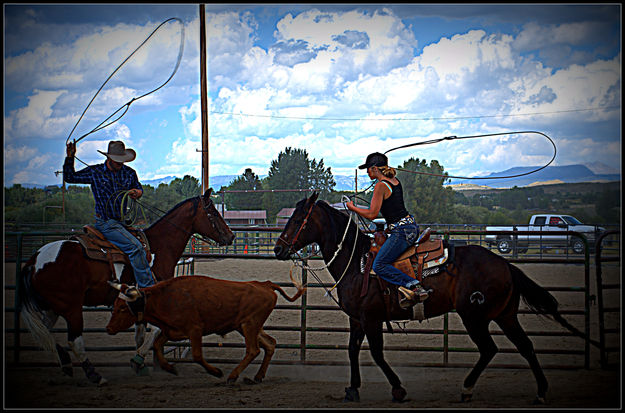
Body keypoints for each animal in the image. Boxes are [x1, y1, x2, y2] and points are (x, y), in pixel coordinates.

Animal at [20, 187, 234, 384]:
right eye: (213, 212)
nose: (231, 236)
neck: (159, 247)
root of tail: (35, 260)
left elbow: (139, 335)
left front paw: (140, 364)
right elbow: (156, 330)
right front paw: (138, 359)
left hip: (52, 307)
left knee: (44, 333)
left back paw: (65, 364)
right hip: (71, 308)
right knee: (74, 341)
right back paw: (95, 375)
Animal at [106, 274, 304, 384]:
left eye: (122, 308)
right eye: (114, 305)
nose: (108, 328)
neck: (167, 298)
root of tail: (265, 284)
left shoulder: (195, 330)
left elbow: (197, 355)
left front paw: (216, 372)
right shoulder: (170, 330)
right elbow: (157, 345)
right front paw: (170, 368)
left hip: (250, 325)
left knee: (253, 350)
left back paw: (232, 376)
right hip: (247, 326)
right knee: (270, 344)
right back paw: (258, 376)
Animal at [274, 192, 600, 402]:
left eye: (298, 219)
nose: (278, 249)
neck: (357, 261)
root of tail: (504, 263)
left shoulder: (372, 318)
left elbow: (376, 353)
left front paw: (398, 389)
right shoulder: (357, 318)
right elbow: (353, 350)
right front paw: (352, 389)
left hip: (475, 316)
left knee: (490, 349)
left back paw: (467, 389)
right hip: (504, 315)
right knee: (526, 347)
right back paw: (541, 392)